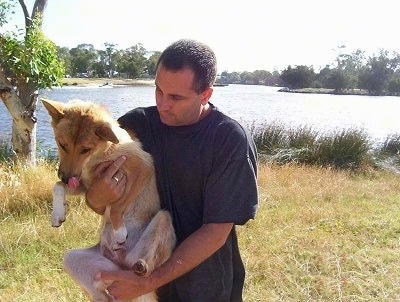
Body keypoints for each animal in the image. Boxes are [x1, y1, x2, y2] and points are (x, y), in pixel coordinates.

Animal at [41, 99, 177, 302]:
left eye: (85, 149)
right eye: (62, 145)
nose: (65, 177)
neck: (98, 155)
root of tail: (120, 263)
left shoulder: (144, 167)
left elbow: (116, 207)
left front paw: (119, 231)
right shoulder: (88, 186)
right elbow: (56, 187)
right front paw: (57, 215)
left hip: (163, 219)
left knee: (145, 266)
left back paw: (142, 266)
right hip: (74, 259)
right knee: (104, 292)